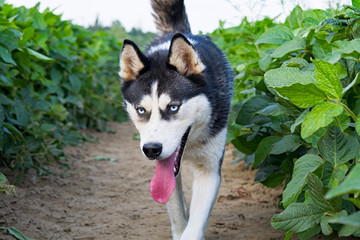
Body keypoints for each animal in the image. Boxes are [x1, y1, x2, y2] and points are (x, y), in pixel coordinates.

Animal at [119, 0, 232, 239]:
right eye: (141, 110)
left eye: (173, 107)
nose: (151, 149)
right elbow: (176, 209)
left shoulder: (209, 170)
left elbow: (195, 225)